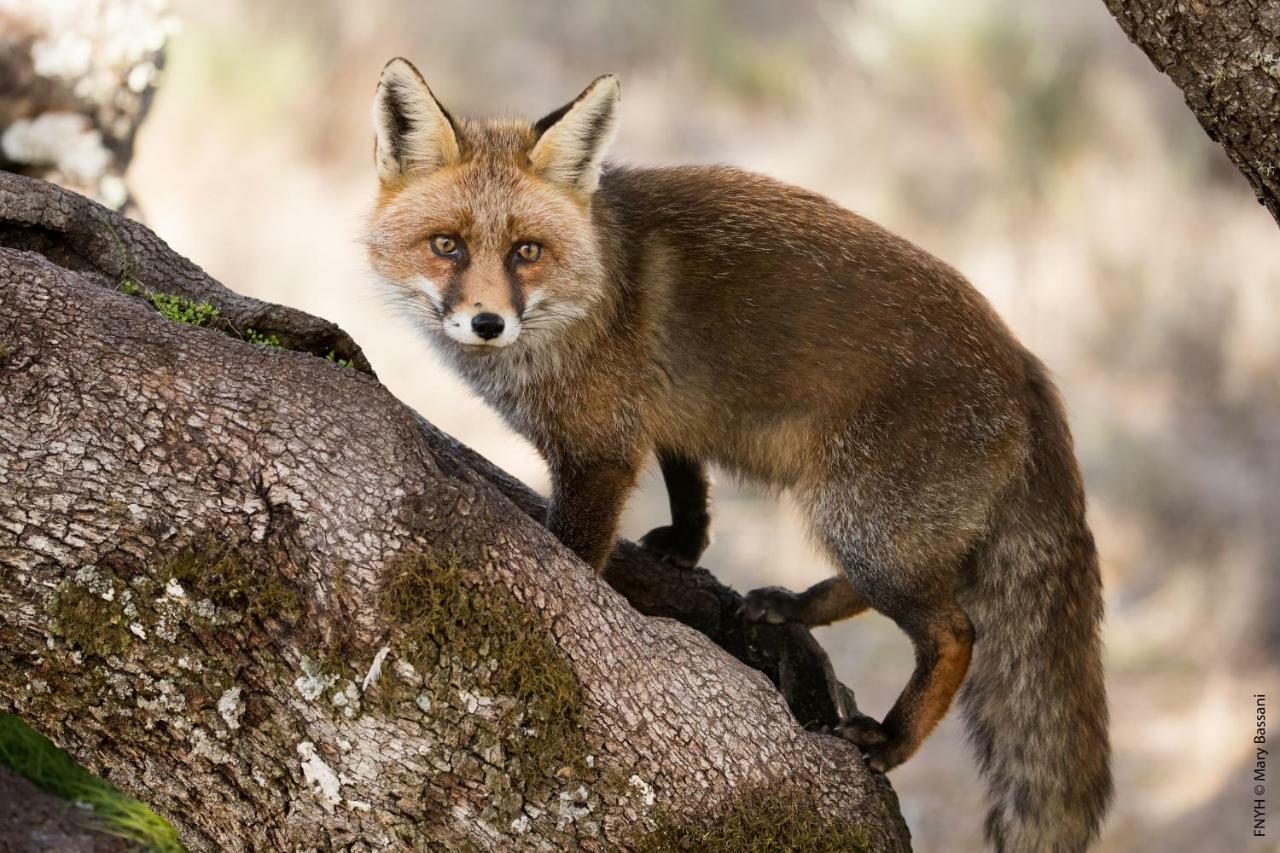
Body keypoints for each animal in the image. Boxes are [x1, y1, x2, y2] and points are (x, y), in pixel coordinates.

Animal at [363, 56, 1111, 845]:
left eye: (525, 253)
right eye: (447, 245)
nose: (487, 323)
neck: (589, 293)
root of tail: (1028, 367)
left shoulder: (599, 452)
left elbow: (572, 559)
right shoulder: (659, 411)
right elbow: (688, 478)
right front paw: (686, 545)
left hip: (865, 521)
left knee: (955, 631)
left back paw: (892, 739)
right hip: (869, 525)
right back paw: (795, 607)